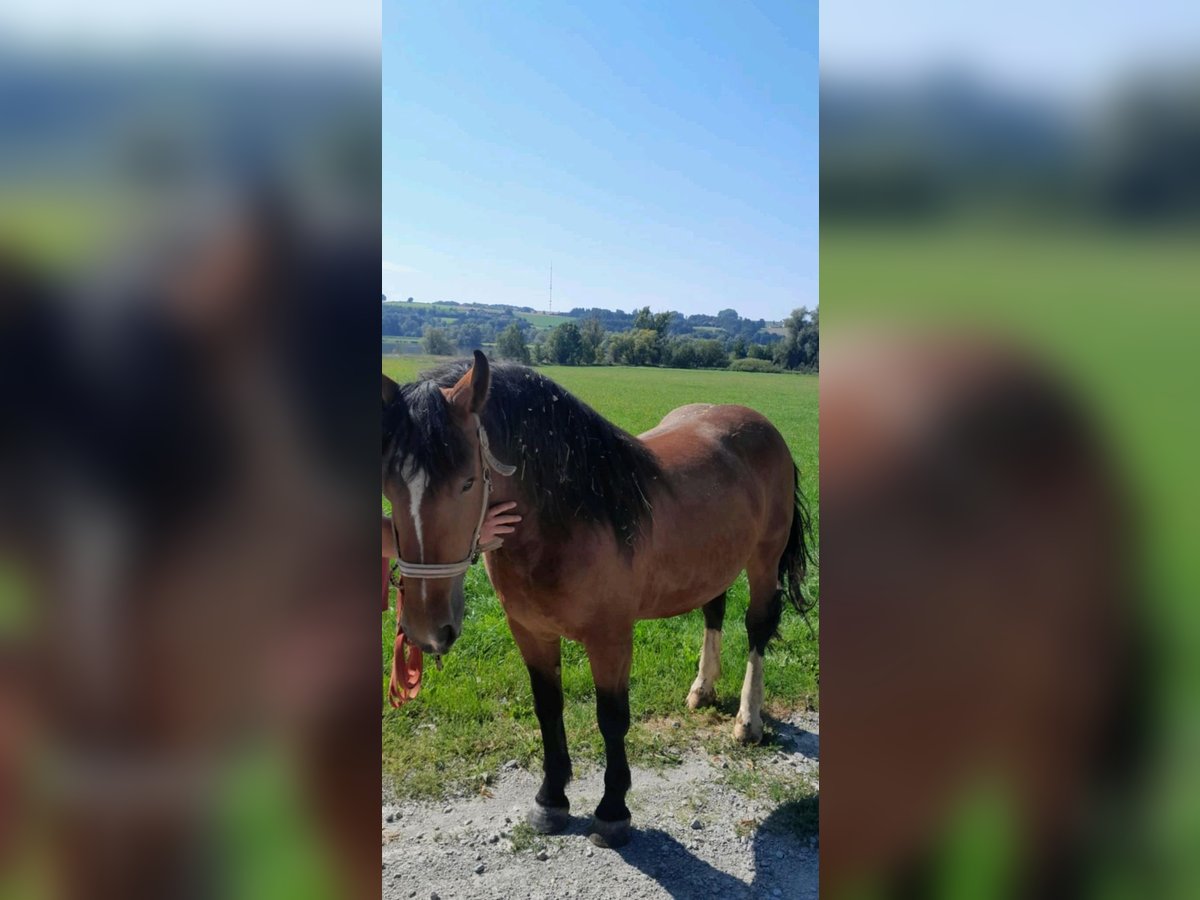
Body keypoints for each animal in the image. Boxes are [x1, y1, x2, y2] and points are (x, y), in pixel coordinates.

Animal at [381, 352, 816, 854]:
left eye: (468, 483)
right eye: (388, 486)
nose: (425, 630)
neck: (567, 520)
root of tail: (760, 424)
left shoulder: (610, 638)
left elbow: (611, 719)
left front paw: (612, 811)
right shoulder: (530, 631)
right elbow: (548, 708)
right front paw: (551, 800)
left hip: (764, 560)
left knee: (757, 627)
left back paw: (748, 721)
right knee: (714, 612)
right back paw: (702, 689)